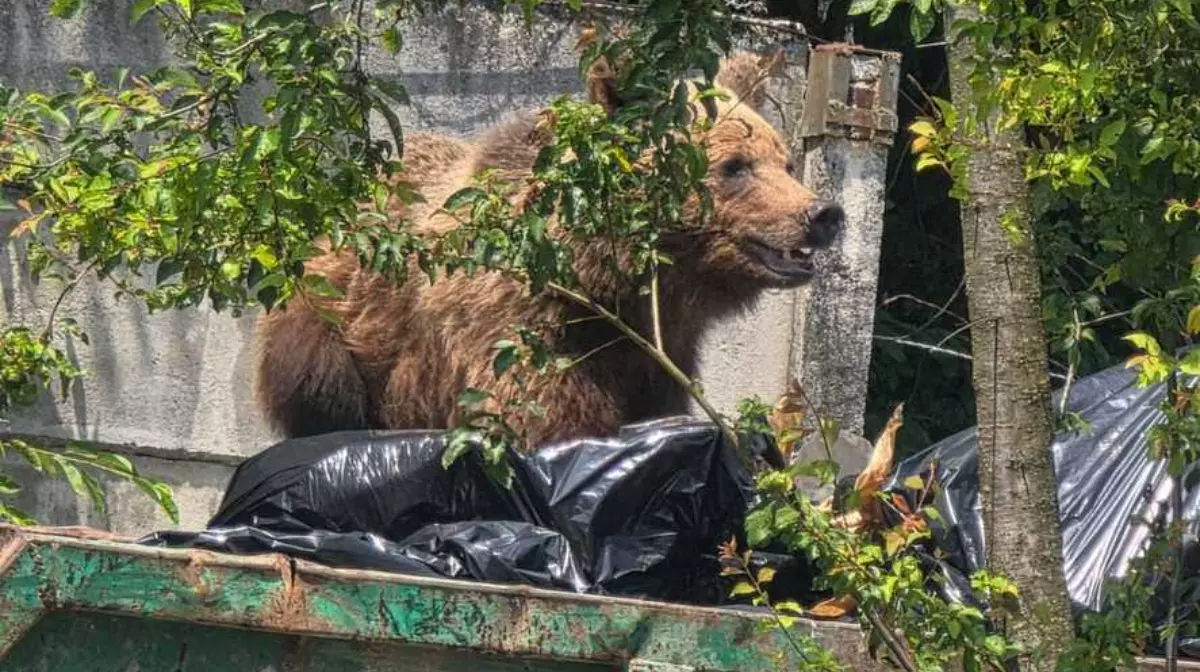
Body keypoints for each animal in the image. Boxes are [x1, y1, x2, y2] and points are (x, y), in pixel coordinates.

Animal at [254, 51, 844, 450]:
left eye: (785, 162)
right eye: (735, 167)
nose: (822, 215)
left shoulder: (658, 352)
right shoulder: (524, 329)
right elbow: (546, 416)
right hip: (335, 323)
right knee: (322, 389)